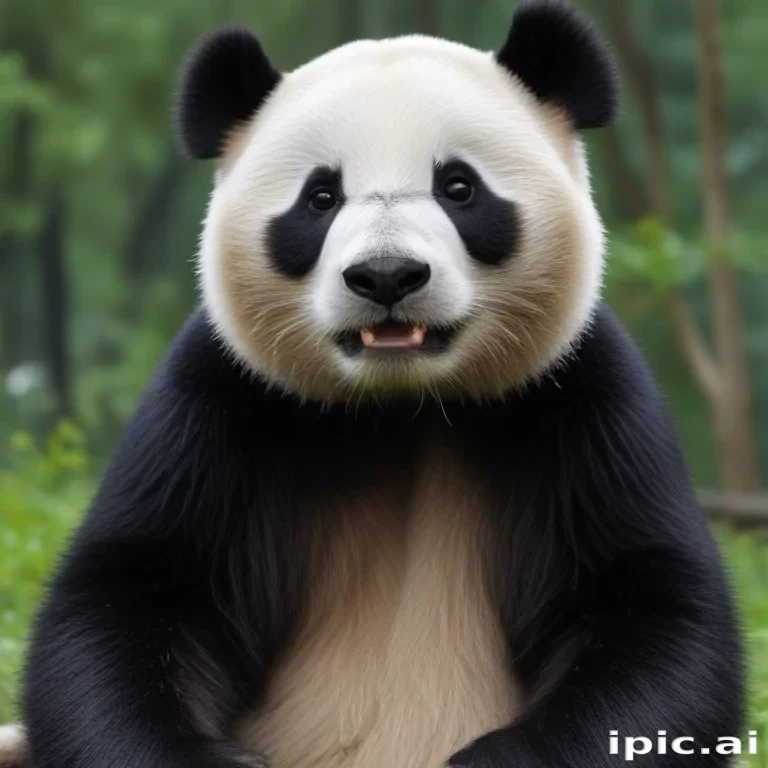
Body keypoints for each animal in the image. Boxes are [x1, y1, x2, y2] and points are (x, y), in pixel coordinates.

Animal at [4, 2, 743, 767]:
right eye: (320, 197)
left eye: (459, 187)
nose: (387, 276)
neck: (401, 405)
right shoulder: (218, 403)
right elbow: (128, 597)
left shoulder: (580, 398)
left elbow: (651, 611)